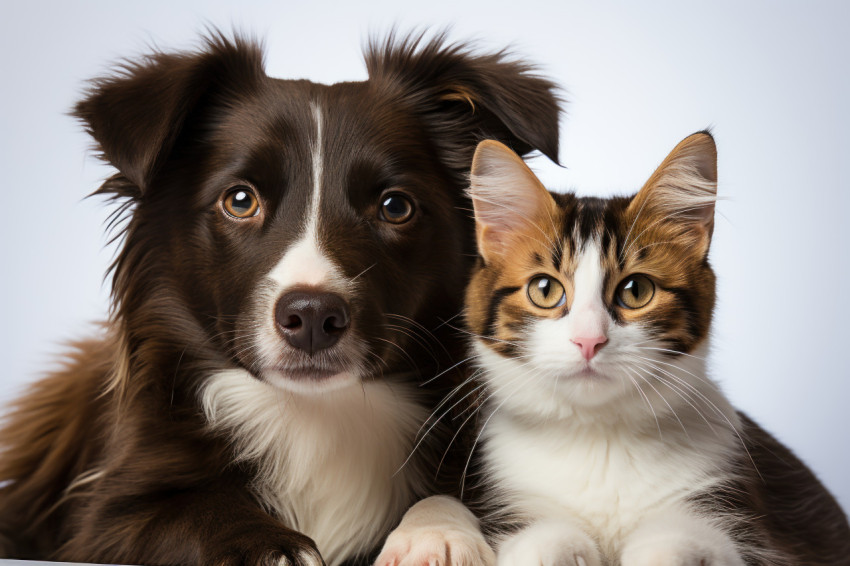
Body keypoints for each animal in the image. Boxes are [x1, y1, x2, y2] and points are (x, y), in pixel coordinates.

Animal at [0, 32, 556, 566]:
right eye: (240, 200)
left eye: (395, 206)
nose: (312, 315)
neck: (314, 415)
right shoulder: (109, 514)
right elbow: (192, 509)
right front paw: (268, 546)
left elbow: (456, 498)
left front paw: (436, 536)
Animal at [380, 133, 848, 566]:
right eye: (544, 289)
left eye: (636, 290)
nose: (589, 340)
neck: (599, 438)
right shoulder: (511, 500)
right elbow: (543, 542)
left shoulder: (734, 510)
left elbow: (677, 545)